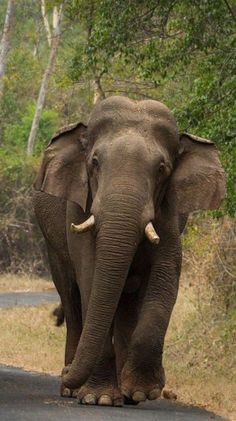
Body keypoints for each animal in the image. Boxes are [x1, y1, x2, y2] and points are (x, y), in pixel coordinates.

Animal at [33, 94, 225, 404]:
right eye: (95, 162)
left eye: (162, 169)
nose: (65, 372)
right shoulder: (79, 205)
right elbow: (90, 275)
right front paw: (98, 398)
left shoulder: (170, 213)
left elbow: (165, 277)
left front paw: (142, 392)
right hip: (52, 246)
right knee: (72, 299)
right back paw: (73, 389)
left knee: (126, 307)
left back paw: (124, 392)